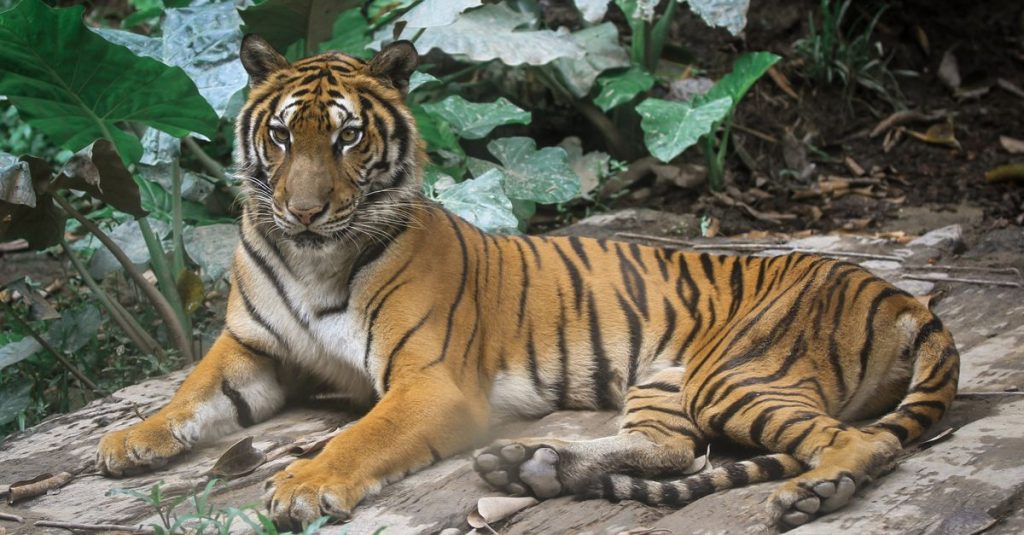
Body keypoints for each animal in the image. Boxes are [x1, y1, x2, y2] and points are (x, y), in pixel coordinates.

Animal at [95, 35, 959, 530]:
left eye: (346, 138)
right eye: (280, 137)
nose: (303, 211)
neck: (314, 257)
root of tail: (901, 294)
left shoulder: (430, 380)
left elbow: (358, 433)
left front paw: (305, 483)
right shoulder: (251, 346)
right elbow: (189, 393)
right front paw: (128, 440)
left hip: (736, 373)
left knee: (859, 441)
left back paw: (810, 495)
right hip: (668, 380)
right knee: (671, 448)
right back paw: (533, 464)